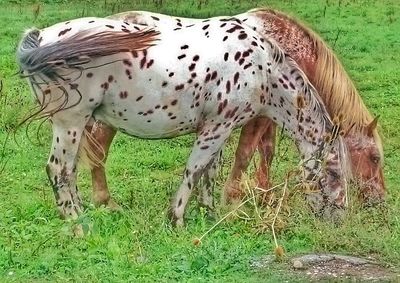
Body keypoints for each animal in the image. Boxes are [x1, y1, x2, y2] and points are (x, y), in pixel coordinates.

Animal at [17, 16, 348, 226]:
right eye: (334, 174)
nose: (340, 215)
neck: (261, 69)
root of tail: (43, 37)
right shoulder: (216, 128)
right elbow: (195, 169)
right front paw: (176, 219)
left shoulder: (220, 128)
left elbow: (210, 171)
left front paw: (208, 212)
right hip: (70, 122)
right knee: (58, 169)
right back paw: (76, 223)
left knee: (70, 170)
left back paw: (82, 212)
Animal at [85, 8, 384, 211]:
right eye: (375, 158)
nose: (380, 200)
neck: (280, 45)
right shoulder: (257, 116)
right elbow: (245, 154)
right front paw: (231, 200)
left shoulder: (270, 115)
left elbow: (266, 152)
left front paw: (263, 195)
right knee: (97, 152)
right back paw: (105, 202)